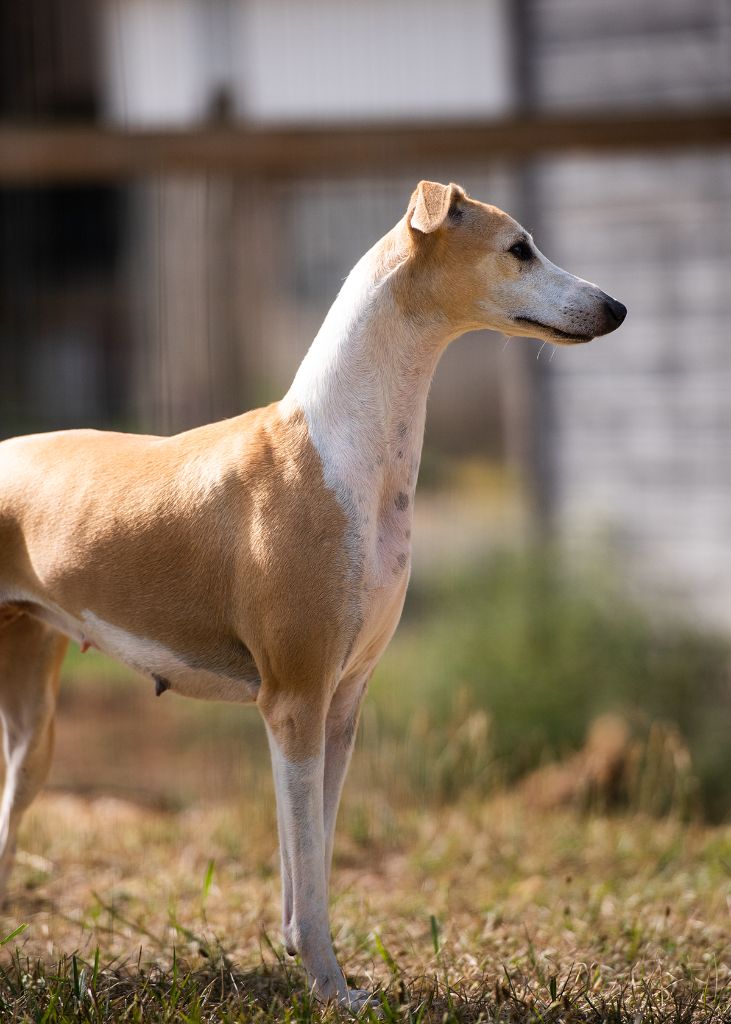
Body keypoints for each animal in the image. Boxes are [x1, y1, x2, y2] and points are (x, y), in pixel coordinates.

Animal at [0, 182, 626, 1007]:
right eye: (518, 248)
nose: (615, 308)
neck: (345, 450)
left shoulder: (340, 705)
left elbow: (315, 860)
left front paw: (315, 968)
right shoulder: (293, 702)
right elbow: (308, 866)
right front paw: (333, 989)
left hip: (30, 720)